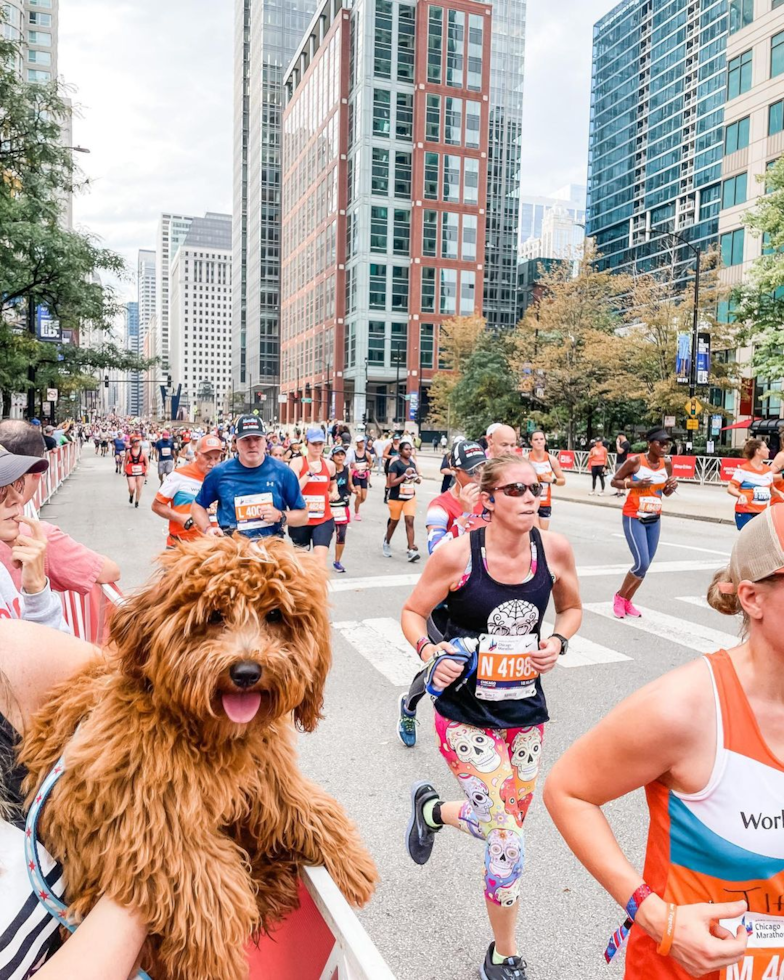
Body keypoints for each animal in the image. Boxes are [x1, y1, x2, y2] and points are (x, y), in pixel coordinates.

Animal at [23, 536, 378, 980]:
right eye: (213, 616)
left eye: (275, 614)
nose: (246, 672)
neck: (209, 735)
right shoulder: (144, 821)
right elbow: (210, 892)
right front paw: (216, 962)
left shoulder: (267, 775)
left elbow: (303, 804)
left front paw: (350, 861)